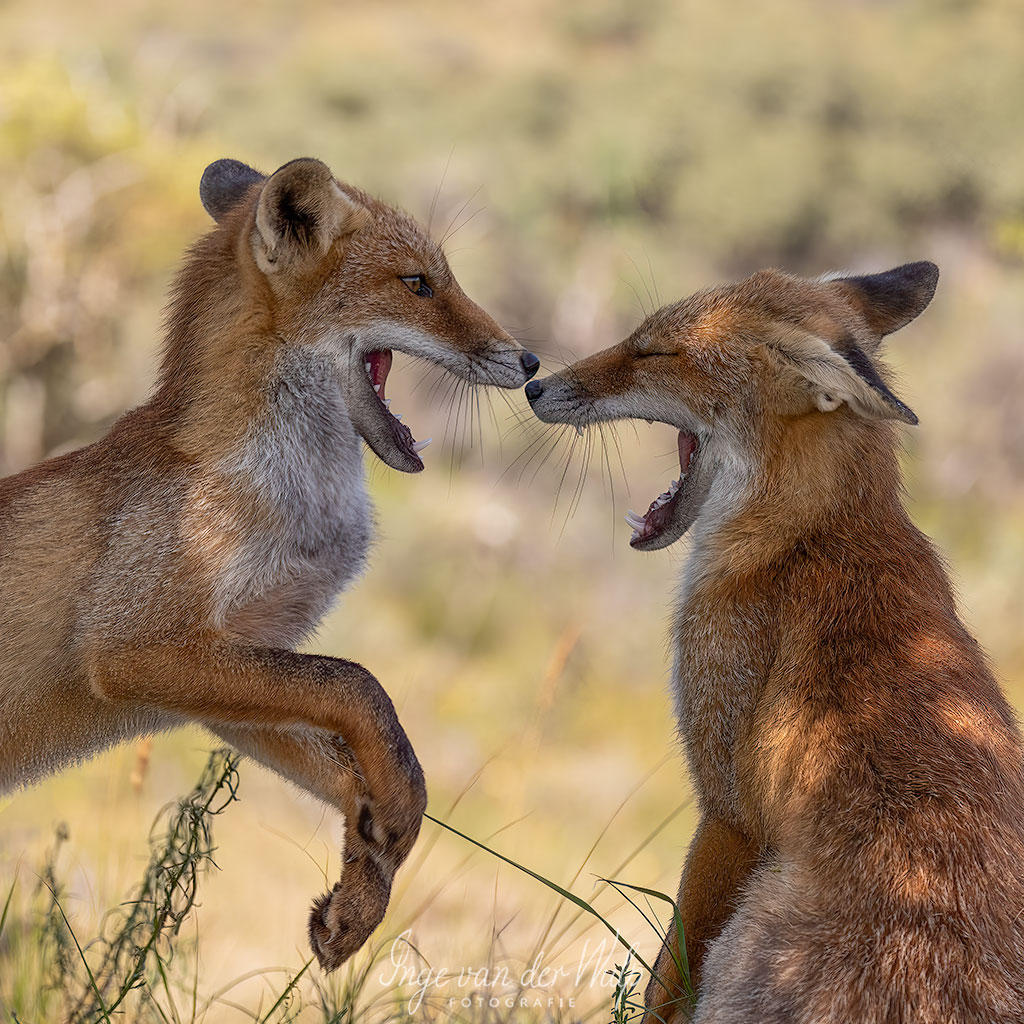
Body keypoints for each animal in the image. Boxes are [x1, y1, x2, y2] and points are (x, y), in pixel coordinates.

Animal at [0, 155, 540, 970]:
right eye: (419, 284)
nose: (532, 360)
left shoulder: (224, 670)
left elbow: (354, 764)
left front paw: (363, 891)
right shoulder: (136, 648)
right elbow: (361, 686)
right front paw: (396, 821)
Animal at [524, 260, 1024, 1019]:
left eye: (652, 351)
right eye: (638, 338)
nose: (532, 384)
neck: (807, 537)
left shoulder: (727, 812)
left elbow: (665, 982)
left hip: (755, 913)